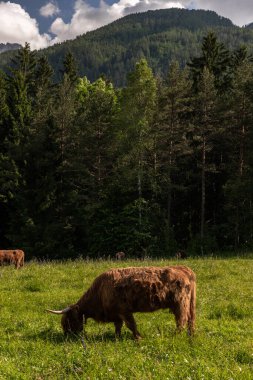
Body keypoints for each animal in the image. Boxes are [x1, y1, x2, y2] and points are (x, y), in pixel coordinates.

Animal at [48, 266, 198, 340]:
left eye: (68, 320)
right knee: (191, 319)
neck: (99, 292)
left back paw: (176, 336)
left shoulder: (124, 310)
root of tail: (184, 269)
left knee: (181, 320)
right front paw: (117, 337)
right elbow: (118, 326)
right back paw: (190, 335)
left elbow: (131, 325)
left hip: (180, 303)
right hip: (189, 304)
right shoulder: (116, 313)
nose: (67, 336)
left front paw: (138, 338)